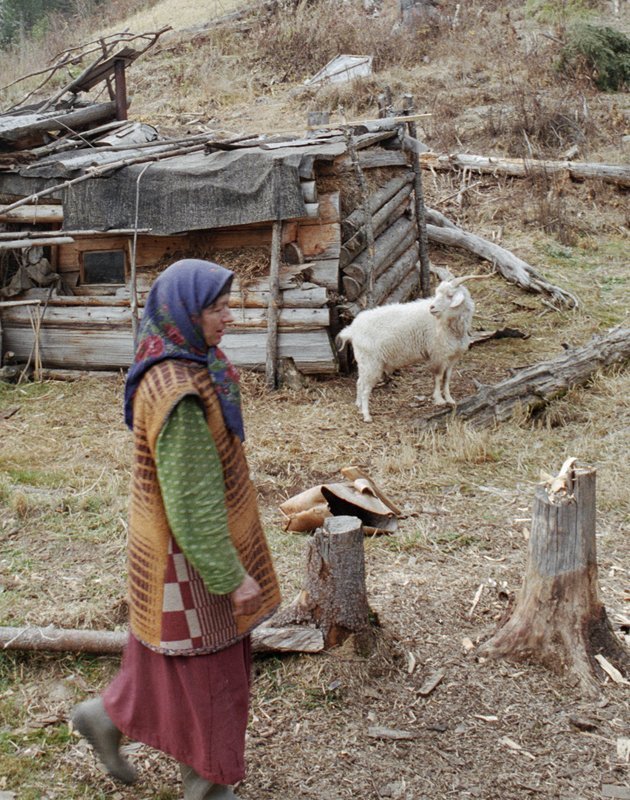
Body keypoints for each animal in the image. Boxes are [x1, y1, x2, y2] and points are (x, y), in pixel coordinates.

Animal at [338, 276, 482, 424]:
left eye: (450, 295)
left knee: (360, 382)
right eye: (438, 293)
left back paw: (359, 406)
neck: (453, 326)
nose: (432, 308)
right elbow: (438, 377)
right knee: (366, 389)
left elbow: (447, 378)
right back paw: (366, 415)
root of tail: (352, 329)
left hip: (364, 362)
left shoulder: (452, 356)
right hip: (371, 363)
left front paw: (450, 399)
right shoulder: (438, 354)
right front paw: (439, 400)